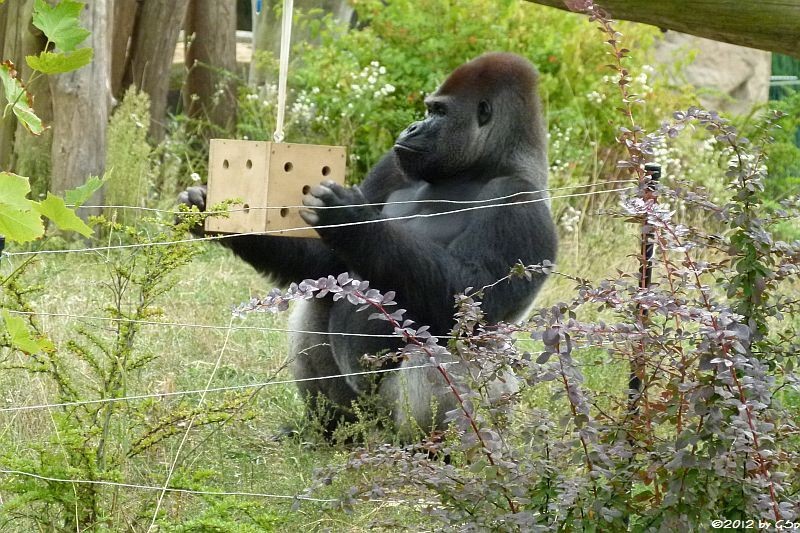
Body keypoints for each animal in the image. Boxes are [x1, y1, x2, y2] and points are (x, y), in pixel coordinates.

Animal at [180, 52, 556, 438]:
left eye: (438, 112)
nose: (412, 128)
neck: (482, 165)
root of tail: (374, 433)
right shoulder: (393, 163)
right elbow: (329, 265)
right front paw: (216, 216)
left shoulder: (519, 205)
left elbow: (465, 301)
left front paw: (347, 215)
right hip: (362, 415)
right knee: (321, 298)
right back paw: (326, 427)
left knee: (443, 351)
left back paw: (431, 446)